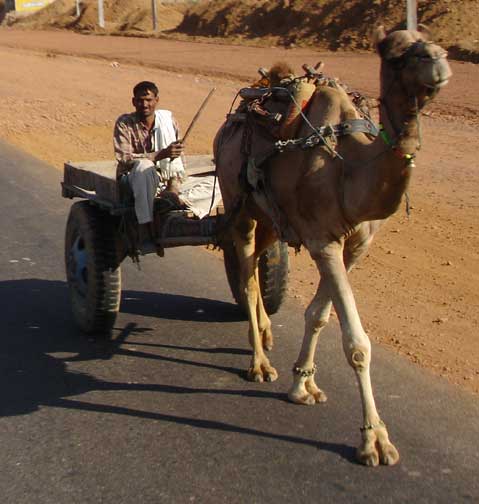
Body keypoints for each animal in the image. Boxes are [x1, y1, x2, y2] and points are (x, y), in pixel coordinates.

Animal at [214, 27, 454, 466]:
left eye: (430, 41)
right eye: (394, 53)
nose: (439, 61)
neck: (351, 168)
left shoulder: (356, 245)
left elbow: (318, 315)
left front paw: (304, 384)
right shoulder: (323, 240)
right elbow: (356, 342)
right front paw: (375, 439)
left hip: (272, 218)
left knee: (259, 263)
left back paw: (267, 335)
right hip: (238, 202)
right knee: (247, 276)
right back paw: (259, 362)